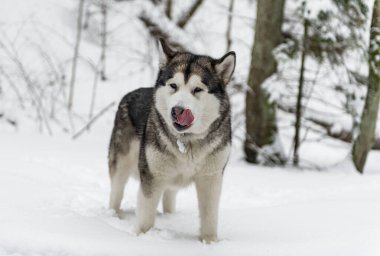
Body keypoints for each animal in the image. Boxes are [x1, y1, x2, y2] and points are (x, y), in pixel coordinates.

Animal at [108, 38, 236, 242]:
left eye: (197, 89)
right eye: (174, 86)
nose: (178, 110)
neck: (187, 142)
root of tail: (130, 93)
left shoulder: (211, 178)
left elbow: (209, 217)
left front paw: (209, 242)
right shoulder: (152, 176)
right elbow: (145, 216)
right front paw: (143, 238)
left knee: (169, 195)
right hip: (122, 162)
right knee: (116, 192)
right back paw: (113, 215)